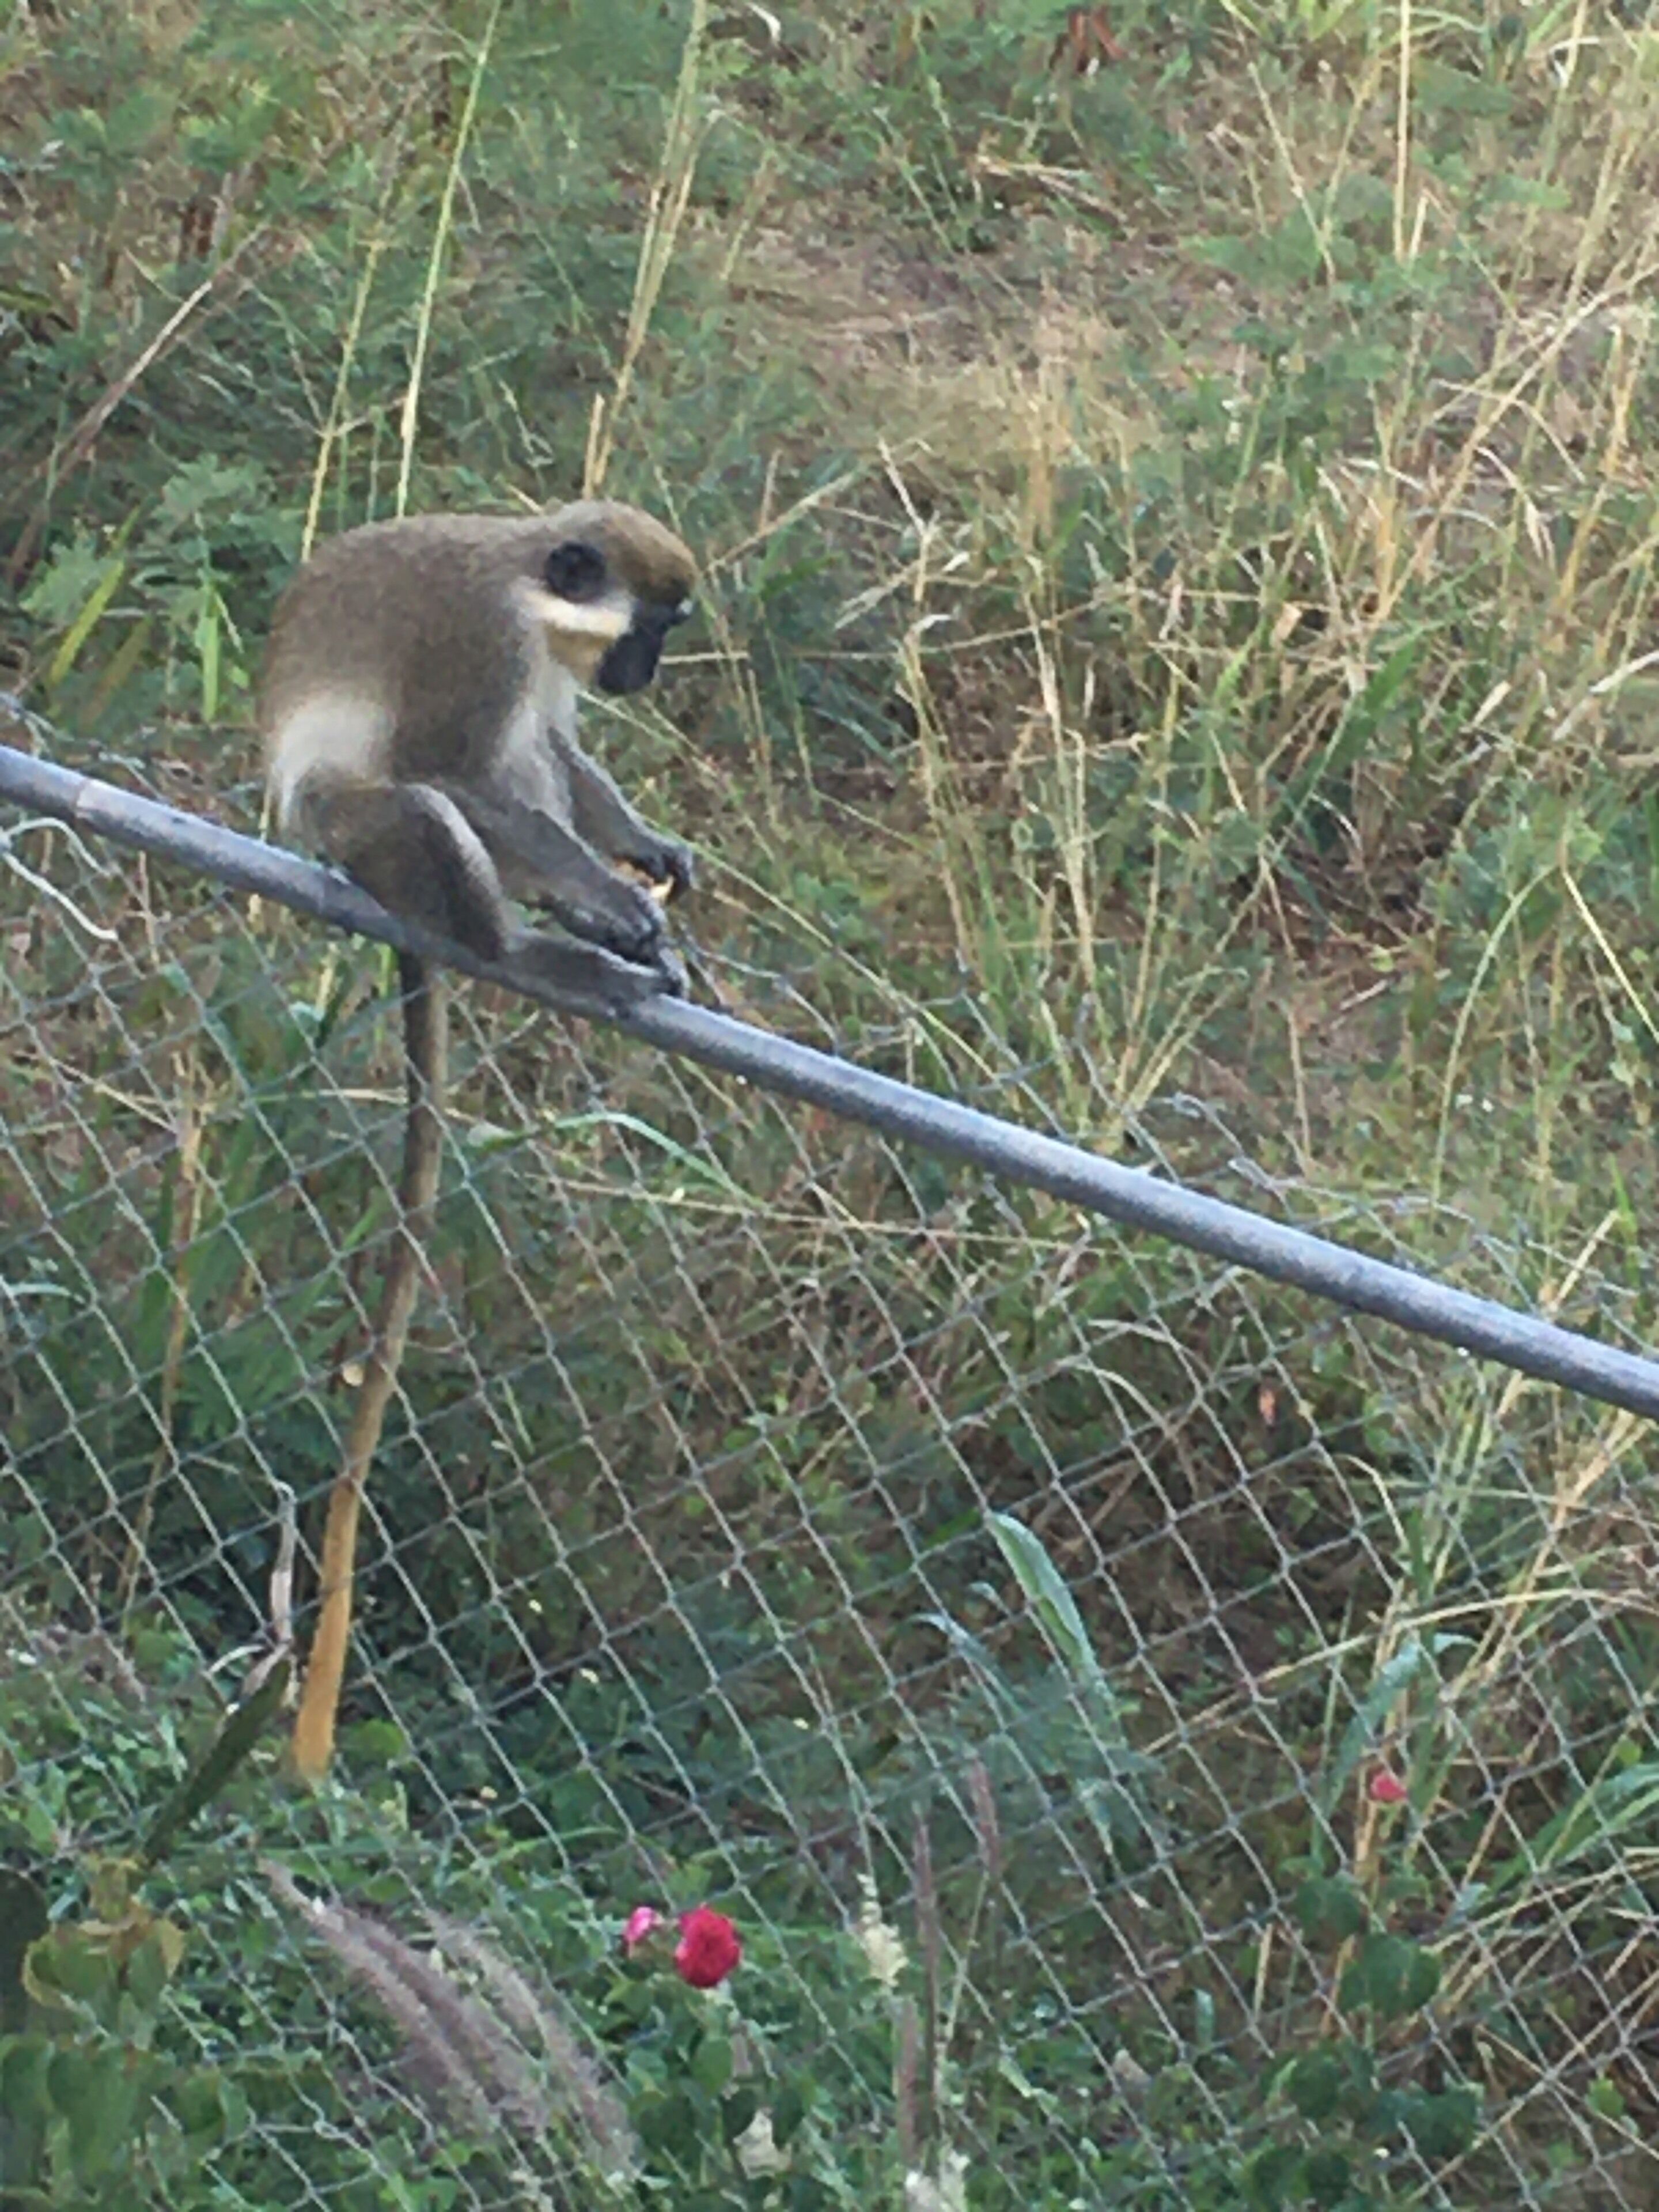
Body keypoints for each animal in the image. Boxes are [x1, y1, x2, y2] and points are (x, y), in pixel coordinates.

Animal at [259, 500, 699, 1780]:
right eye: (652, 627)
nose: (646, 674)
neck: (530, 587)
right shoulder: (486, 646)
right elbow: (457, 772)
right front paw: (613, 900)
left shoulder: (541, 670)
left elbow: (559, 754)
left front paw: (644, 850)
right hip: (362, 835)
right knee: (427, 806)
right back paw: (538, 944)